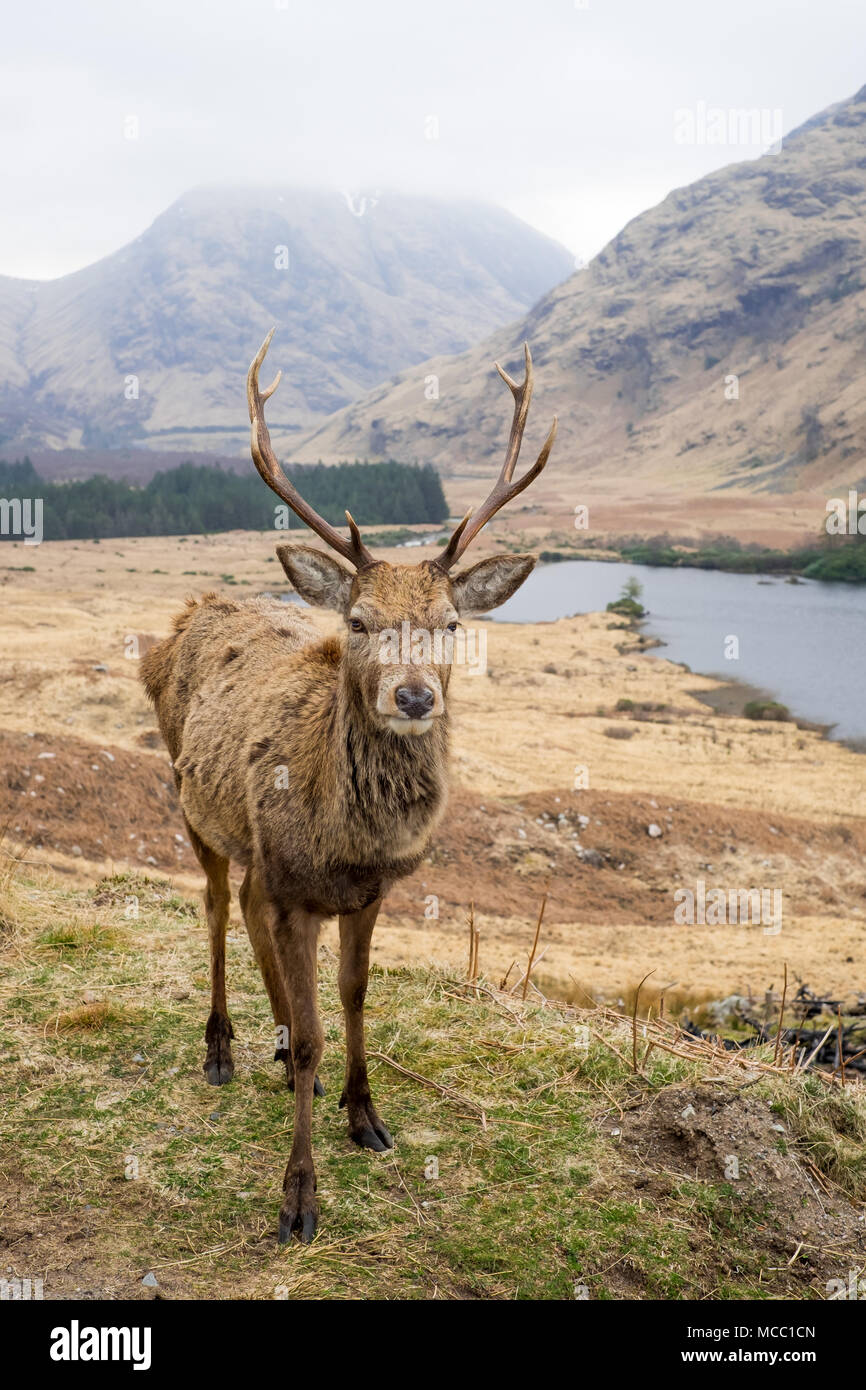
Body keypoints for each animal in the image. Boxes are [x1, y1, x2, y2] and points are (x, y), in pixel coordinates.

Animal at [140, 329, 556, 1243]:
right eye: (359, 622)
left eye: (451, 623)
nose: (415, 695)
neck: (344, 840)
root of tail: (191, 611)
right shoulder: (298, 892)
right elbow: (314, 1039)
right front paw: (299, 1195)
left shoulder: (367, 893)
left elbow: (355, 998)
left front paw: (365, 1115)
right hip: (192, 804)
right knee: (217, 907)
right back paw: (222, 1045)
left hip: (258, 854)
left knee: (253, 917)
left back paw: (268, 1034)